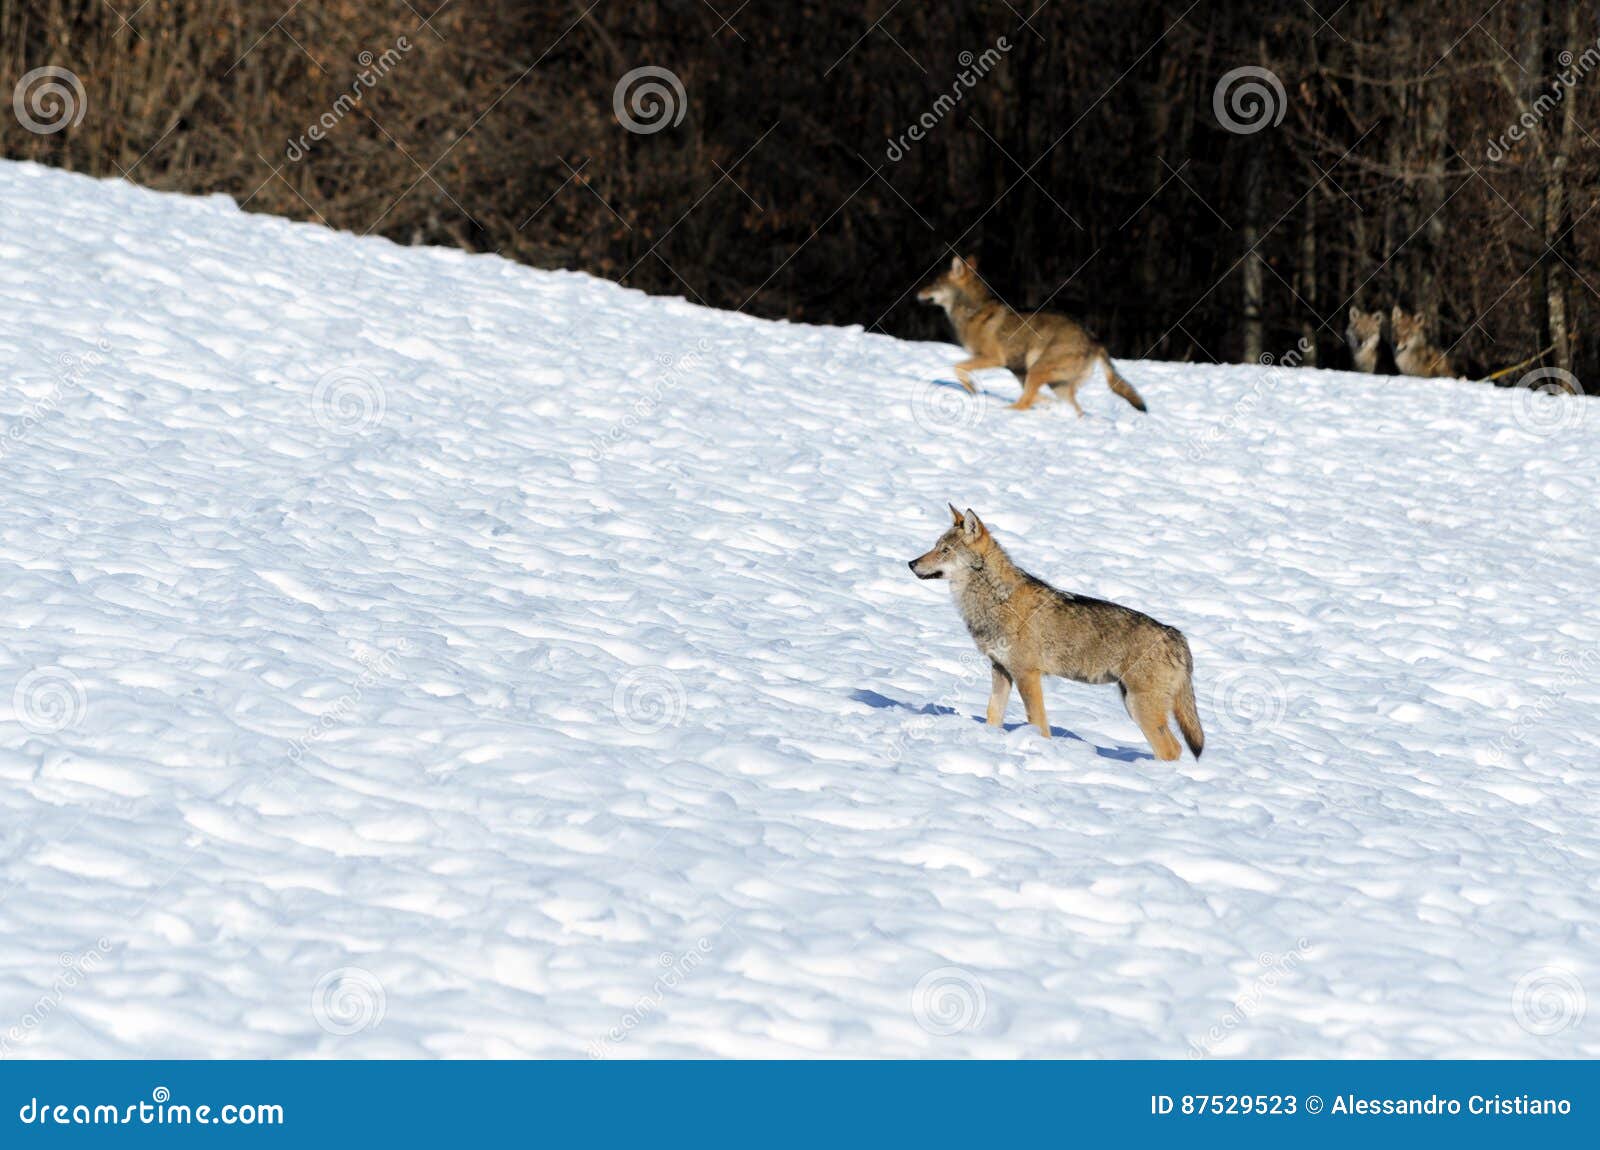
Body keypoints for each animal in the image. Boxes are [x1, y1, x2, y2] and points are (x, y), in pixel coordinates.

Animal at [908, 505, 1203, 761]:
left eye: (945, 550)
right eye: (935, 546)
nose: (911, 563)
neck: (995, 600)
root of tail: (1178, 637)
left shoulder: (1028, 676)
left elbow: (1038, 723)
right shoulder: (1000, 670)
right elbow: (993, 714)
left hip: (1140, 707)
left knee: (1171, 750)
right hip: (1133, 704)